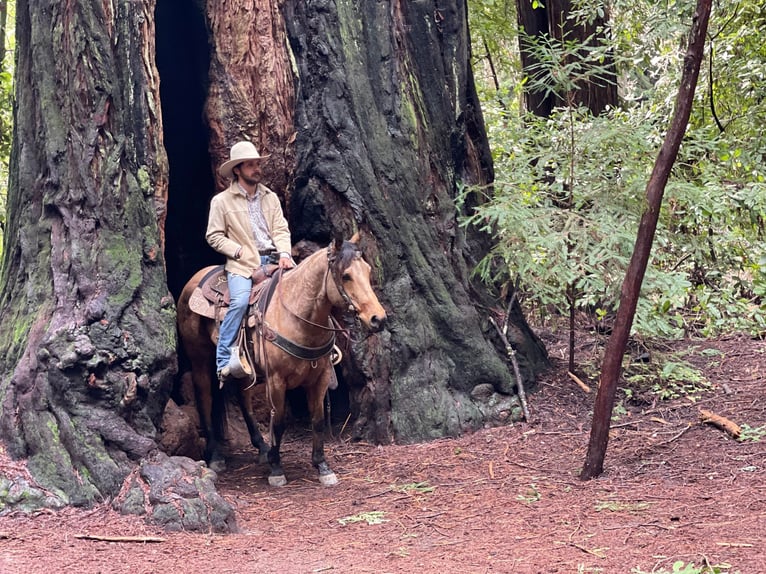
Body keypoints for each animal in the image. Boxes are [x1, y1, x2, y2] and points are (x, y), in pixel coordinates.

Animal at [176, 234, 388, 486]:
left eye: (367, 270)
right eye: (346, 275)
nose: (378, 319)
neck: (298, 317)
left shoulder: (320, 378)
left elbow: (317, 420)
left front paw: (322, 466)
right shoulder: (276, 380)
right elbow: (278, 422)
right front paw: (276, 469)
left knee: (243, 398)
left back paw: (261, 448)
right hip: (199, 358)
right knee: (205, 398)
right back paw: (217, 456)